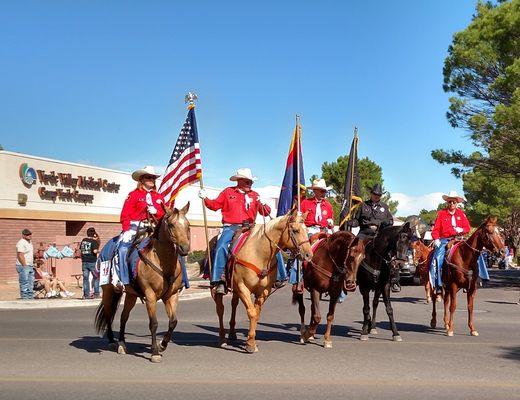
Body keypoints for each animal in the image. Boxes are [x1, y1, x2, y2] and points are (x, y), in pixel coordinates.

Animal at [94, 203, 190, 362]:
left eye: (188, 225)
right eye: (171, 224)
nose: (185, 248)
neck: (162, 261)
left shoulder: (171, 295)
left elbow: (173, 321)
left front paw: (162, 345)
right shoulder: (150, 296)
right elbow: (154, 323)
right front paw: (155, 352)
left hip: (131, 295)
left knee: (123, 317)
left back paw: (122, 344)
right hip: (108, 291)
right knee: (108, 313)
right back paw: (112, 341)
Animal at [212, 209, 310, 354]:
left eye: (307, 229)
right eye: (296, 230)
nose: (309, 255)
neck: (259, 253)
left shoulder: (263, 291)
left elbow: (256, 314)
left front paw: (251, 341)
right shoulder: (243, 287)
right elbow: (252, 313)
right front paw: (250, 344)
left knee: (234, 304)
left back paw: (232, 333)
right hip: (217, 287)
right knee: (220, 309)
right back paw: (222, 338)